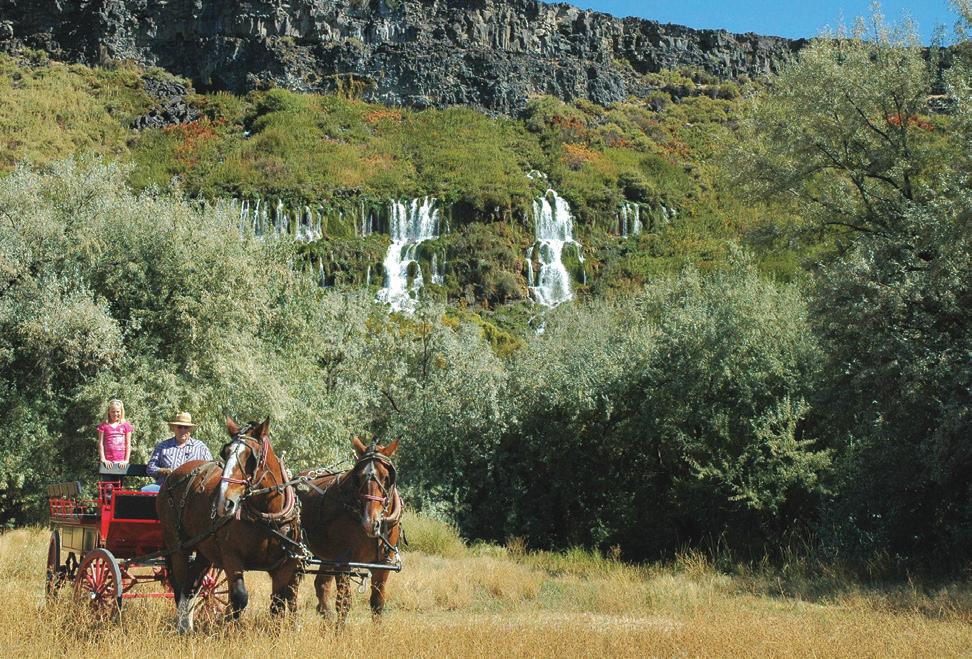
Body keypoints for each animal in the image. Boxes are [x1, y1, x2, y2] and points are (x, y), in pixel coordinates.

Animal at [157, 417, 304, 633]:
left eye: (251, 456)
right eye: (225, 452)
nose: (224, 502)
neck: (267, 517)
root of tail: (173, 475)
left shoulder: (285, 565)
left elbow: (278, 603)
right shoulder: (230, 557)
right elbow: (239, 597)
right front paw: (228, 629)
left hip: (204, 551)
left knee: (191, 586)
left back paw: (188, 627)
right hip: (178, 547)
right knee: (181, 585)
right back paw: (182, 628)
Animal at [297, 437, 403, 627]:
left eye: (386, 477)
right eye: (359, 478)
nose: (370, 522)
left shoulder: (383, 565)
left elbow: (377, 604)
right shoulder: (343, 562)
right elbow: (344, 603)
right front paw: (339, 631)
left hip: (327, 556)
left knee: (321, 585)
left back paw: (326, 617)